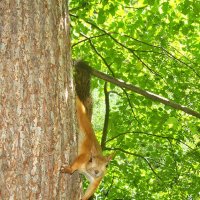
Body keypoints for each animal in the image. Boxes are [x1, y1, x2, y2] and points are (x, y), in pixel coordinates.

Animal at [60, 60, 113, 200]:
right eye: (91, 160)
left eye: (107, 165)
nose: (97, 171)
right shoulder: (84, 157)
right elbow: (78, 161)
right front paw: (68, 169)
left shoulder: (97, 181)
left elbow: (90, 191)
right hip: (80, 112)